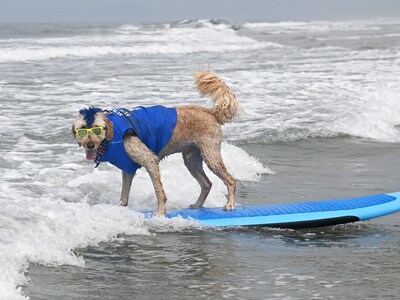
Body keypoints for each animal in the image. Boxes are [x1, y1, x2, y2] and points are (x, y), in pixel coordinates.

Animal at [72, 70, 239, 216]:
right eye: (82, 131)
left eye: (97, 129)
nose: (90, 145)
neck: (112, 135)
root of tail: (211, 112)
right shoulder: (127, 168)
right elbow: (124, 194)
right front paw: (120, 209)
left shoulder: (149, 160)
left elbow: (159, 190)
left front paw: (160, 212)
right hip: (191, 160)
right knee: (207, 183)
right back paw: (197, 205)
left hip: (210, 155)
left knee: (230, 180)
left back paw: (230, 204)